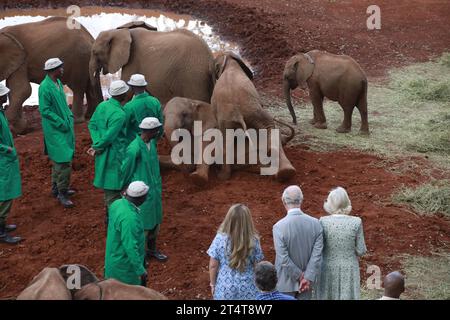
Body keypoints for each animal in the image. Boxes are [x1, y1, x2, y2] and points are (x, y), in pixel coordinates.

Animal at [213, 52, 298, 182]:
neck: (230, 61)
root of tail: (237, 113)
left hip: (237, 118)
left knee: (226, 142)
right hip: (252, 112)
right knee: (270, 130)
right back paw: (286, 172)